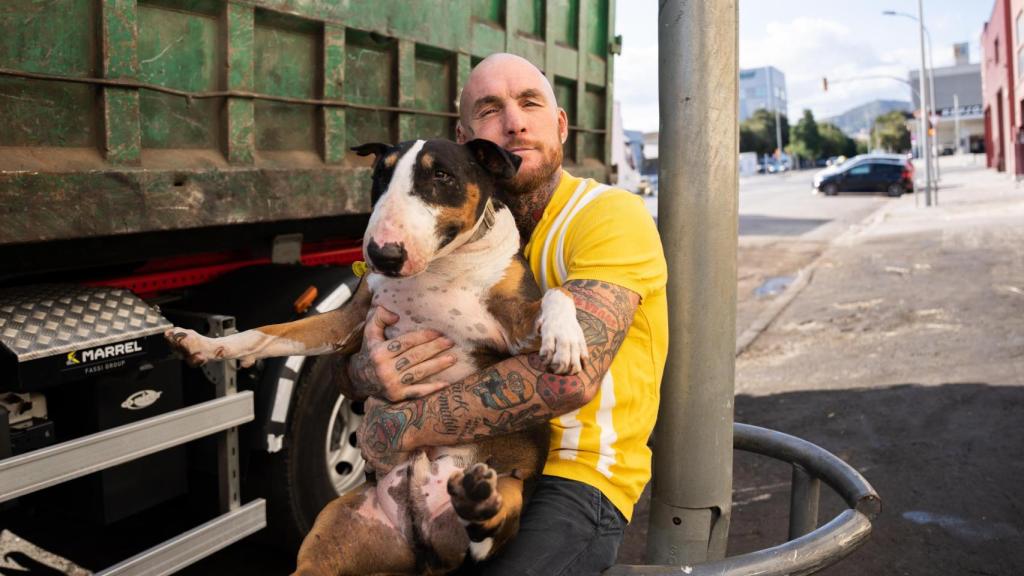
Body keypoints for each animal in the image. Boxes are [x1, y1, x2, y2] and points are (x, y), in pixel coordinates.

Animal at [163, 139, 589, 573]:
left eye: (442, 175)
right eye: (381, 174)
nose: (382, 254)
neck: (441, 267)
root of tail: (423, 541)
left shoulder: (514, 328)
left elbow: (559, 293)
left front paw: (565, 338)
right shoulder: (346, 321)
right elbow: (272, 333)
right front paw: (202, 343)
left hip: (512, 489)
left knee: (491, 533)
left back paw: (478, 502)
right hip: (334, 534)